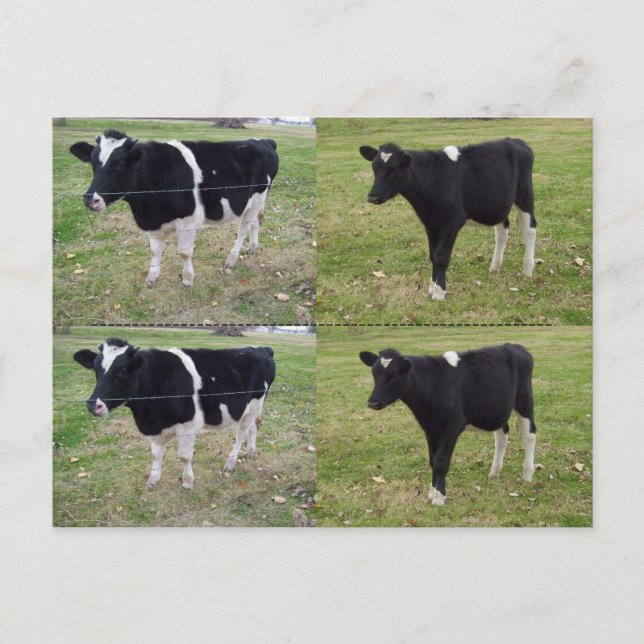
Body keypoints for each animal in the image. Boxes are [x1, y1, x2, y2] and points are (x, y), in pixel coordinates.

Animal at [70, 129, 279, 286]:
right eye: (93, 163)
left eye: (120, 164)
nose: (90, 199)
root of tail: (264, 141)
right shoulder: (154, 222)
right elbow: (155, 250)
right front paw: (152, 277)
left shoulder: (188, 220)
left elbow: (184, 252)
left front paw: (187, 279)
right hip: (260, 199)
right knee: (257, 221)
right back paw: (253, 247)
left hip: (257, 197)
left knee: (244, 228)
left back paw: (232, 260)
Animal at [73, 338, 276, 489]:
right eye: (96, 370)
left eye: (123, 370)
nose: (93, 405)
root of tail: (261, 348)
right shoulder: (155, 427)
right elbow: (156, 455)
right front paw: (153, 480)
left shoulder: (188, 425)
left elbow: (184, 456)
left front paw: (187, 482)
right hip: (256, 406)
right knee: (254, 427)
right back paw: (251, 452)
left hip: (255, 402)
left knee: (241, 433)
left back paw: (230, 464)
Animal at [359, 138, 536, 300]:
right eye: (374, 168)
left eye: (394, 171)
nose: (373, 197)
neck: (434, 179)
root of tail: (516, 141)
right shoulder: (430, 223)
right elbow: (432, 255)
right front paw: (431, 287)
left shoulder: (452, 221)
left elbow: (441, 256)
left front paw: (439, 292)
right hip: (497, 203)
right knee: (502, 231)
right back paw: (494, 267)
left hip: (524, 195)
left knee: (530, 229)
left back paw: (527, 269)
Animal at [359, 343, 537, 506]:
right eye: (374, 374)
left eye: (394, 377)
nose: (372, 402)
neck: (433, 384)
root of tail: (516, 346)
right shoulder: (430, 428)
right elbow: (432, 461)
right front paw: (431, 493)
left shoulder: (453, 426)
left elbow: (441, 462)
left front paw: (439, 497)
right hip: (496, 408)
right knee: (501, 436)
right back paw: (494, 473)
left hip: (524, 400)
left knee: (529, 434)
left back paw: (527, 475)